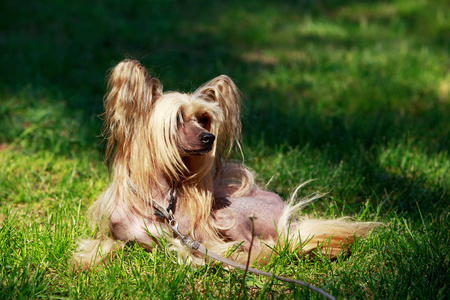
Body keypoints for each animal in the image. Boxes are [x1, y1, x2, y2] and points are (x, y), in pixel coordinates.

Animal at [75, 59, 378, 268]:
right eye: (178, 119)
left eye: (205, 119)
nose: (209, 138)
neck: (160, 205)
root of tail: (286, 213)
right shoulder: (118, 236)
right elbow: (104, 245)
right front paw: (86, 261)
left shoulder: (197, 237)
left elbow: (184, 249)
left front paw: (192, 256)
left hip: (228, 214)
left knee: (262, 247)